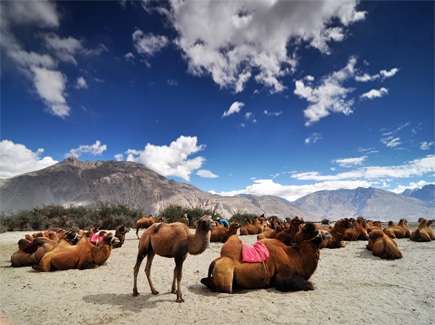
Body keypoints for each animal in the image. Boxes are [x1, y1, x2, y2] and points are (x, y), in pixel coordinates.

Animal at [201, 221, 330, 292]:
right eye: (313, 230)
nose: (327, 234)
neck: (295, 256)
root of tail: (216, 261)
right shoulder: (283, 274)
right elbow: (301, 284)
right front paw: (310, 285)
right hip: (225, 276)